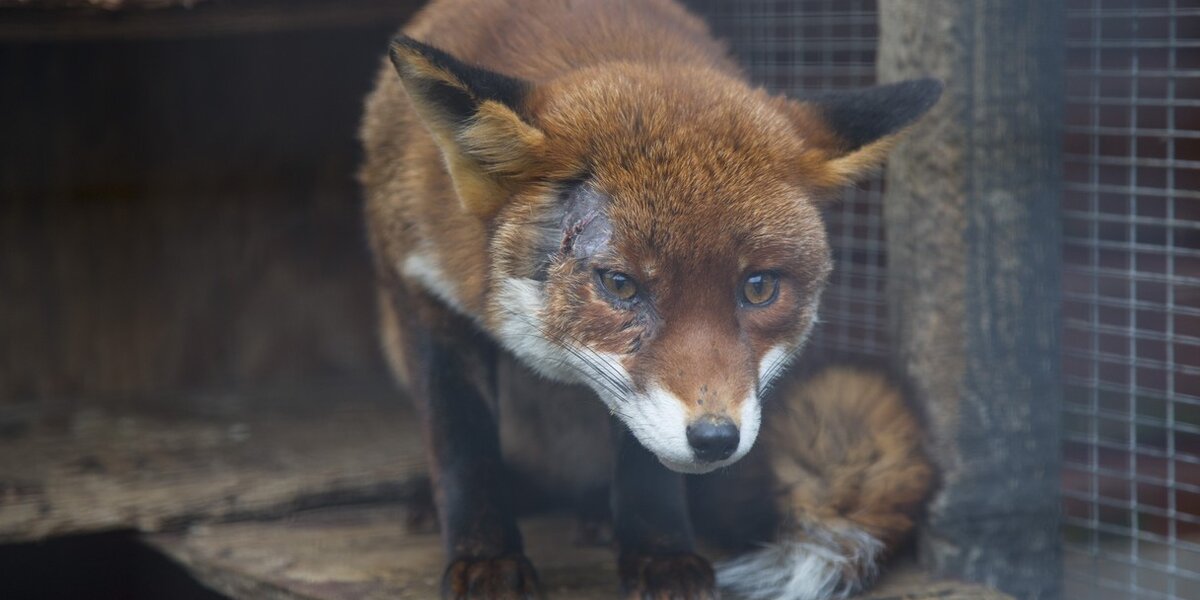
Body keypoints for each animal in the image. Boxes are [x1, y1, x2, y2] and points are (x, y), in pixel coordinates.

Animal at [360, 1, 940, 600]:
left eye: (758, 287)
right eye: (620, 285)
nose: (716, 439)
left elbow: (647, 466)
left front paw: (661, 555)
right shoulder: (419, 287)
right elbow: (462, 446)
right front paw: (486, 559)